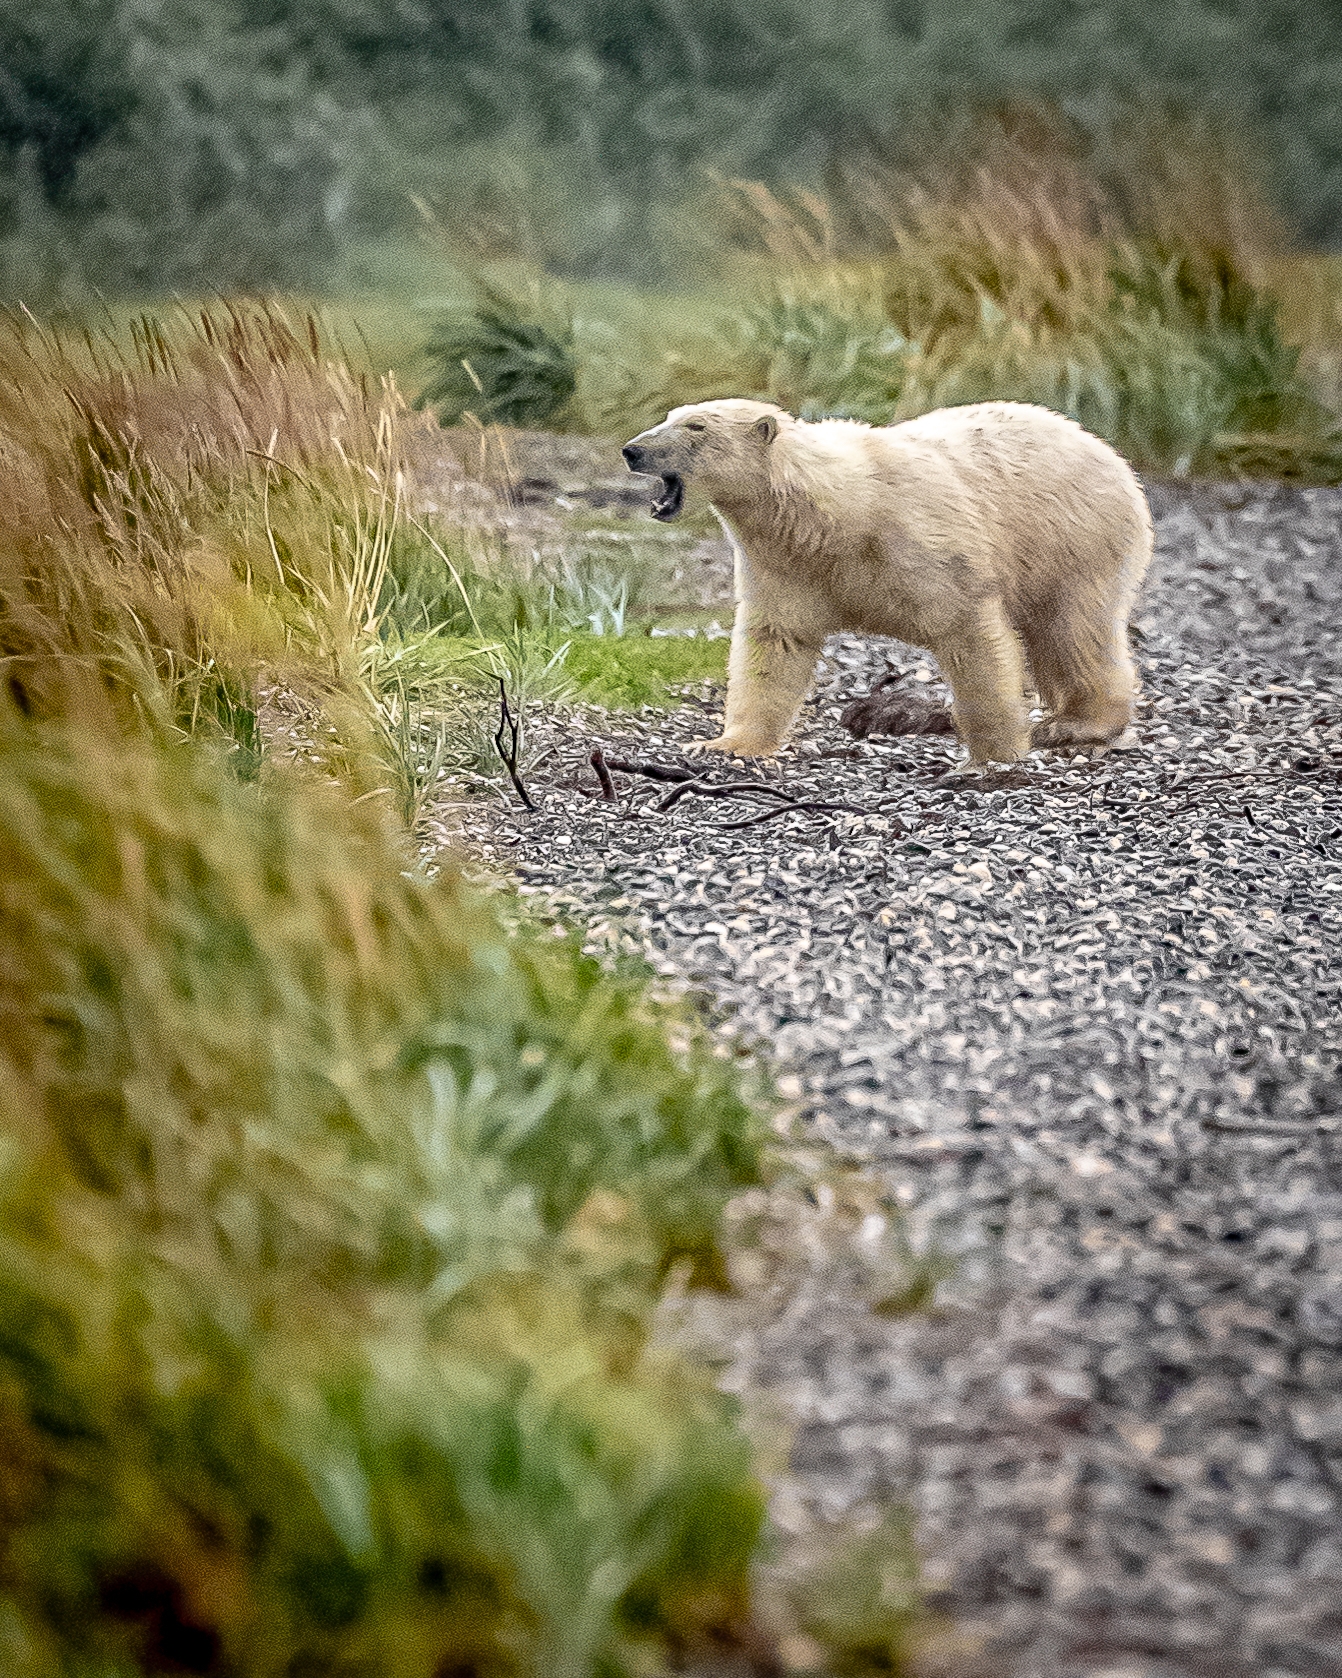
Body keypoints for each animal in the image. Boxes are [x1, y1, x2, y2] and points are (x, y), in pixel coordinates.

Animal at [620, 396, 1154, 765]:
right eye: (671, 414)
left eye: (696, 426)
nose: (632, 450)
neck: (834, 517)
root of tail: (1107, 450)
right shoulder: (784, 566)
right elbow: (776, 642)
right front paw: (725, 743)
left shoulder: (924, 545)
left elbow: (968, 630)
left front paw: (993, 754)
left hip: (1073, 539)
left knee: (1072, 629)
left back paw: (1077, 724)